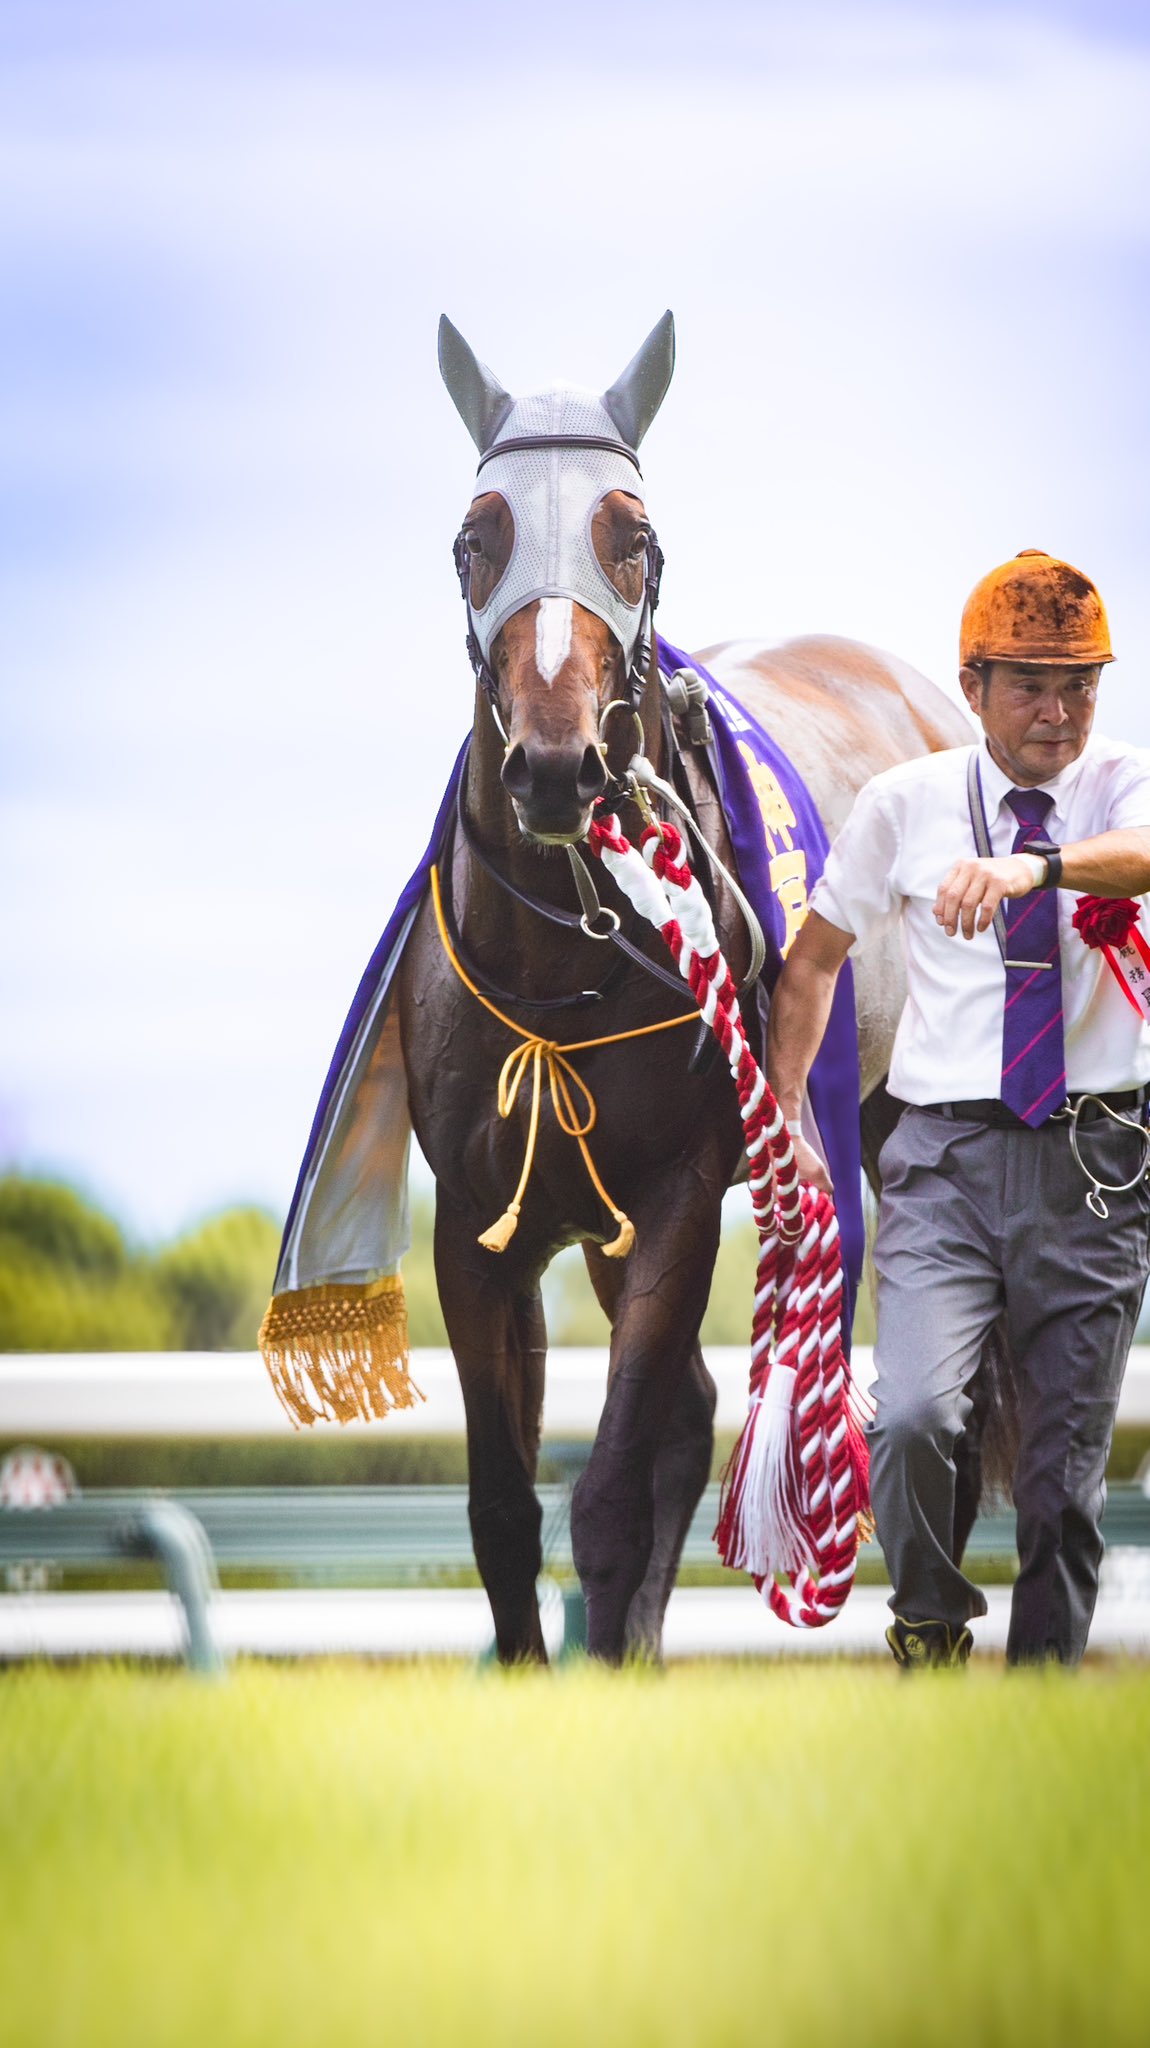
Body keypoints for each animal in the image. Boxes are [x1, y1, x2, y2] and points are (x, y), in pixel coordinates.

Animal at [392, 319, 965, 1662]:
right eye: (475, 536)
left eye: (633, 536)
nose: (554, 764)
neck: (559, 960)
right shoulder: (481, 1224)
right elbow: (503, 1502)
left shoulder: (674, 1200)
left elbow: (609, 1483)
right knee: (694, 1411)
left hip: (886, 1111)